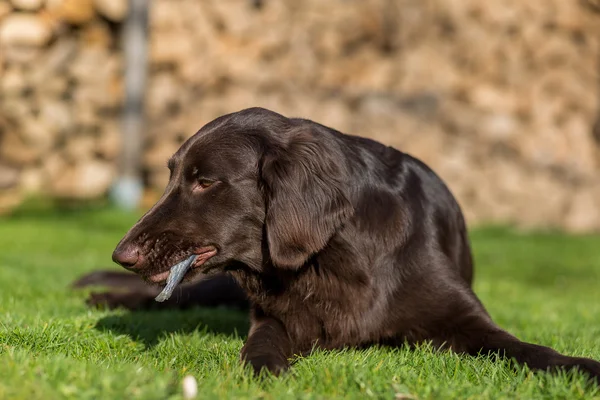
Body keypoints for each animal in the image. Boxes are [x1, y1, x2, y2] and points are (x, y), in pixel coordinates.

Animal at [75, 107, 600, 382]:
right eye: (172, 177)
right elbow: (261, 343)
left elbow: (527, 348)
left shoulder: (463, 317)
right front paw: (266, 370)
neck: (331, 257)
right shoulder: (276, 317)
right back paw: (104, 296)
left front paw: (579, 366)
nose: (121, 255)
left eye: (205, 182)